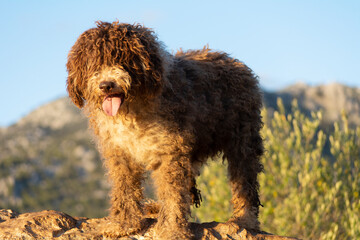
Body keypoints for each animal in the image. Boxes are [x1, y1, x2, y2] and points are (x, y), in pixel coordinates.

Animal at [67, 21, 264, 239]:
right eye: (93, 64)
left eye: (123, 59)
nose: (106, 85)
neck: (132, 112)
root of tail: (234, 61)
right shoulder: (120, 153)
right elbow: (124, 189)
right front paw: (123, 223)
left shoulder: (170, 151)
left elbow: (172, 193)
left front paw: (172, 230)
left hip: (242, 141)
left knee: (245, 183)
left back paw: (245, 219)